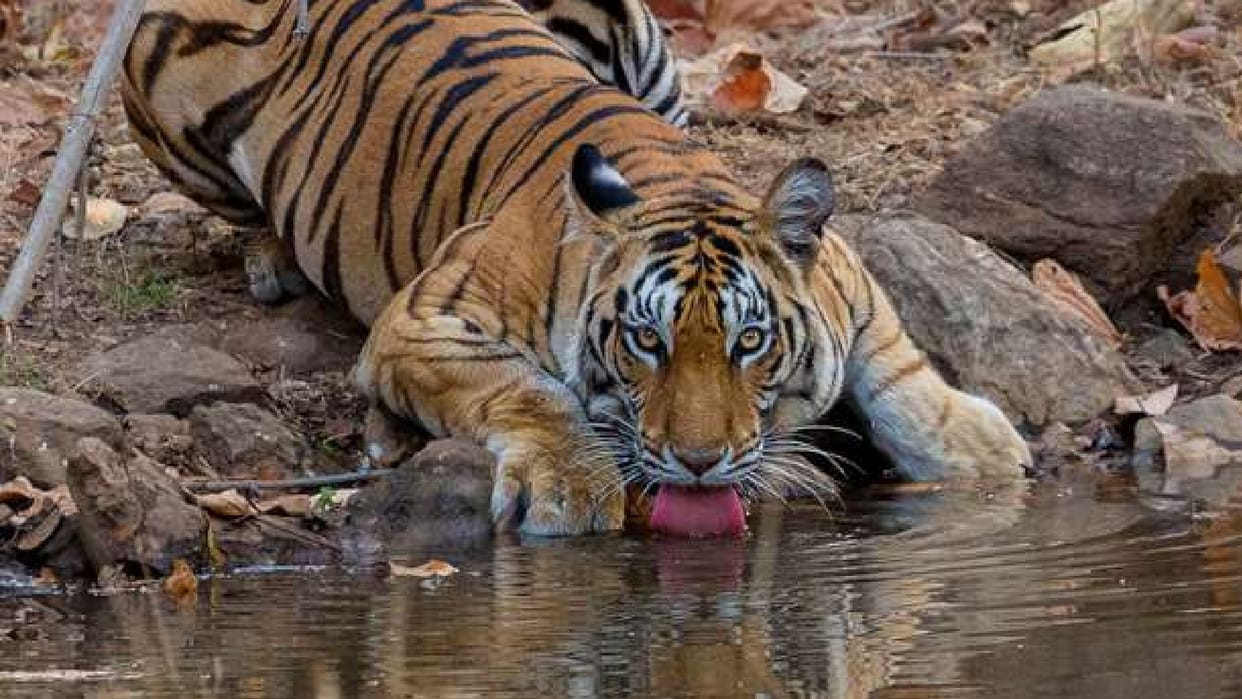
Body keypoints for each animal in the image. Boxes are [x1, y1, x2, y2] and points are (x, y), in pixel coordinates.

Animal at [121, 0, 1032, 536]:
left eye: (749, 343)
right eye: (646, 342)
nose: (698, 463)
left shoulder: (854, 290)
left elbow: (904, 372)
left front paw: (986, 453)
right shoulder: (425, 319)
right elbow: (529, 390)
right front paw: (568, 487)